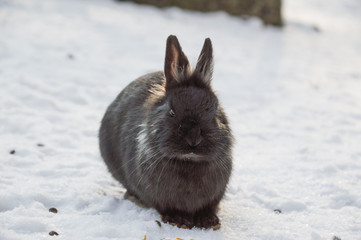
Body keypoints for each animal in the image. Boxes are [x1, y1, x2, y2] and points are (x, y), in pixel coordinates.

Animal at [99, 34, 233, 230]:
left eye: (214, 111)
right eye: (172, 112)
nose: (193, 139)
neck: (188, 162)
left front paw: (207, 220)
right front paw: (178, 219)